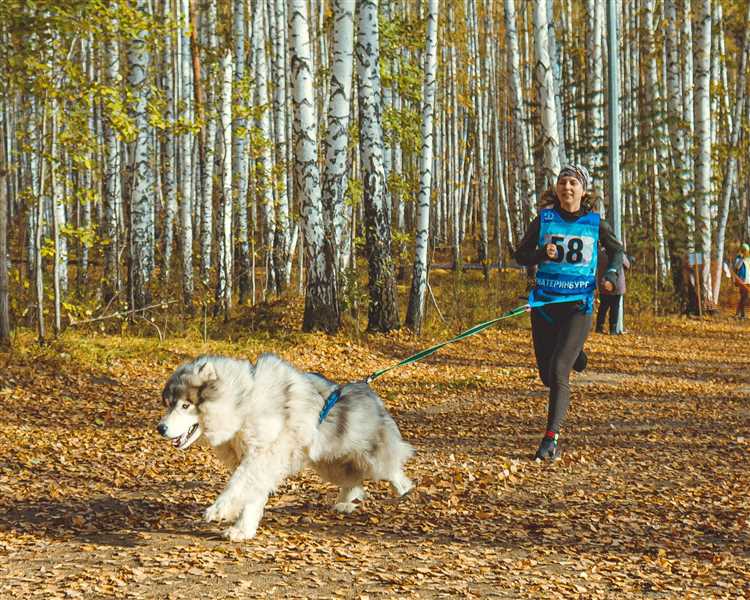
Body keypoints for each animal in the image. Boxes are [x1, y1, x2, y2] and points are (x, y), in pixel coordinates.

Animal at [158, 354, 414, 540]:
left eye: (185, 405)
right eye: (169, 404)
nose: (160, 428)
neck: (244, 403)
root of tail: (368, 391)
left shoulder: (261, 457)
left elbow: (237, 485)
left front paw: (220, 509)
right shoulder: (257, 464)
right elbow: (252, 497)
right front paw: (243, 530)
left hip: (369, 457)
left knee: (391, 468)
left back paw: (404, 492)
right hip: (331, 463)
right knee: (353, 480)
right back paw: (345, 503)